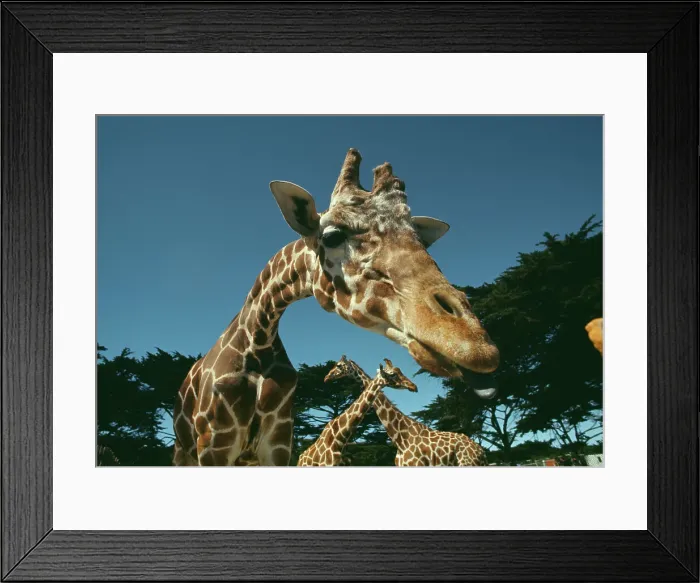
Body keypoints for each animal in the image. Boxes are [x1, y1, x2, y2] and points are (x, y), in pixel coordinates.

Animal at [172, 148, 500, 466]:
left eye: (420, 239)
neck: (257, 341)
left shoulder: (278, 444)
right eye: (331, 236)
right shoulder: (215, 445)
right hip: (184, 451)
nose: (473, 343)